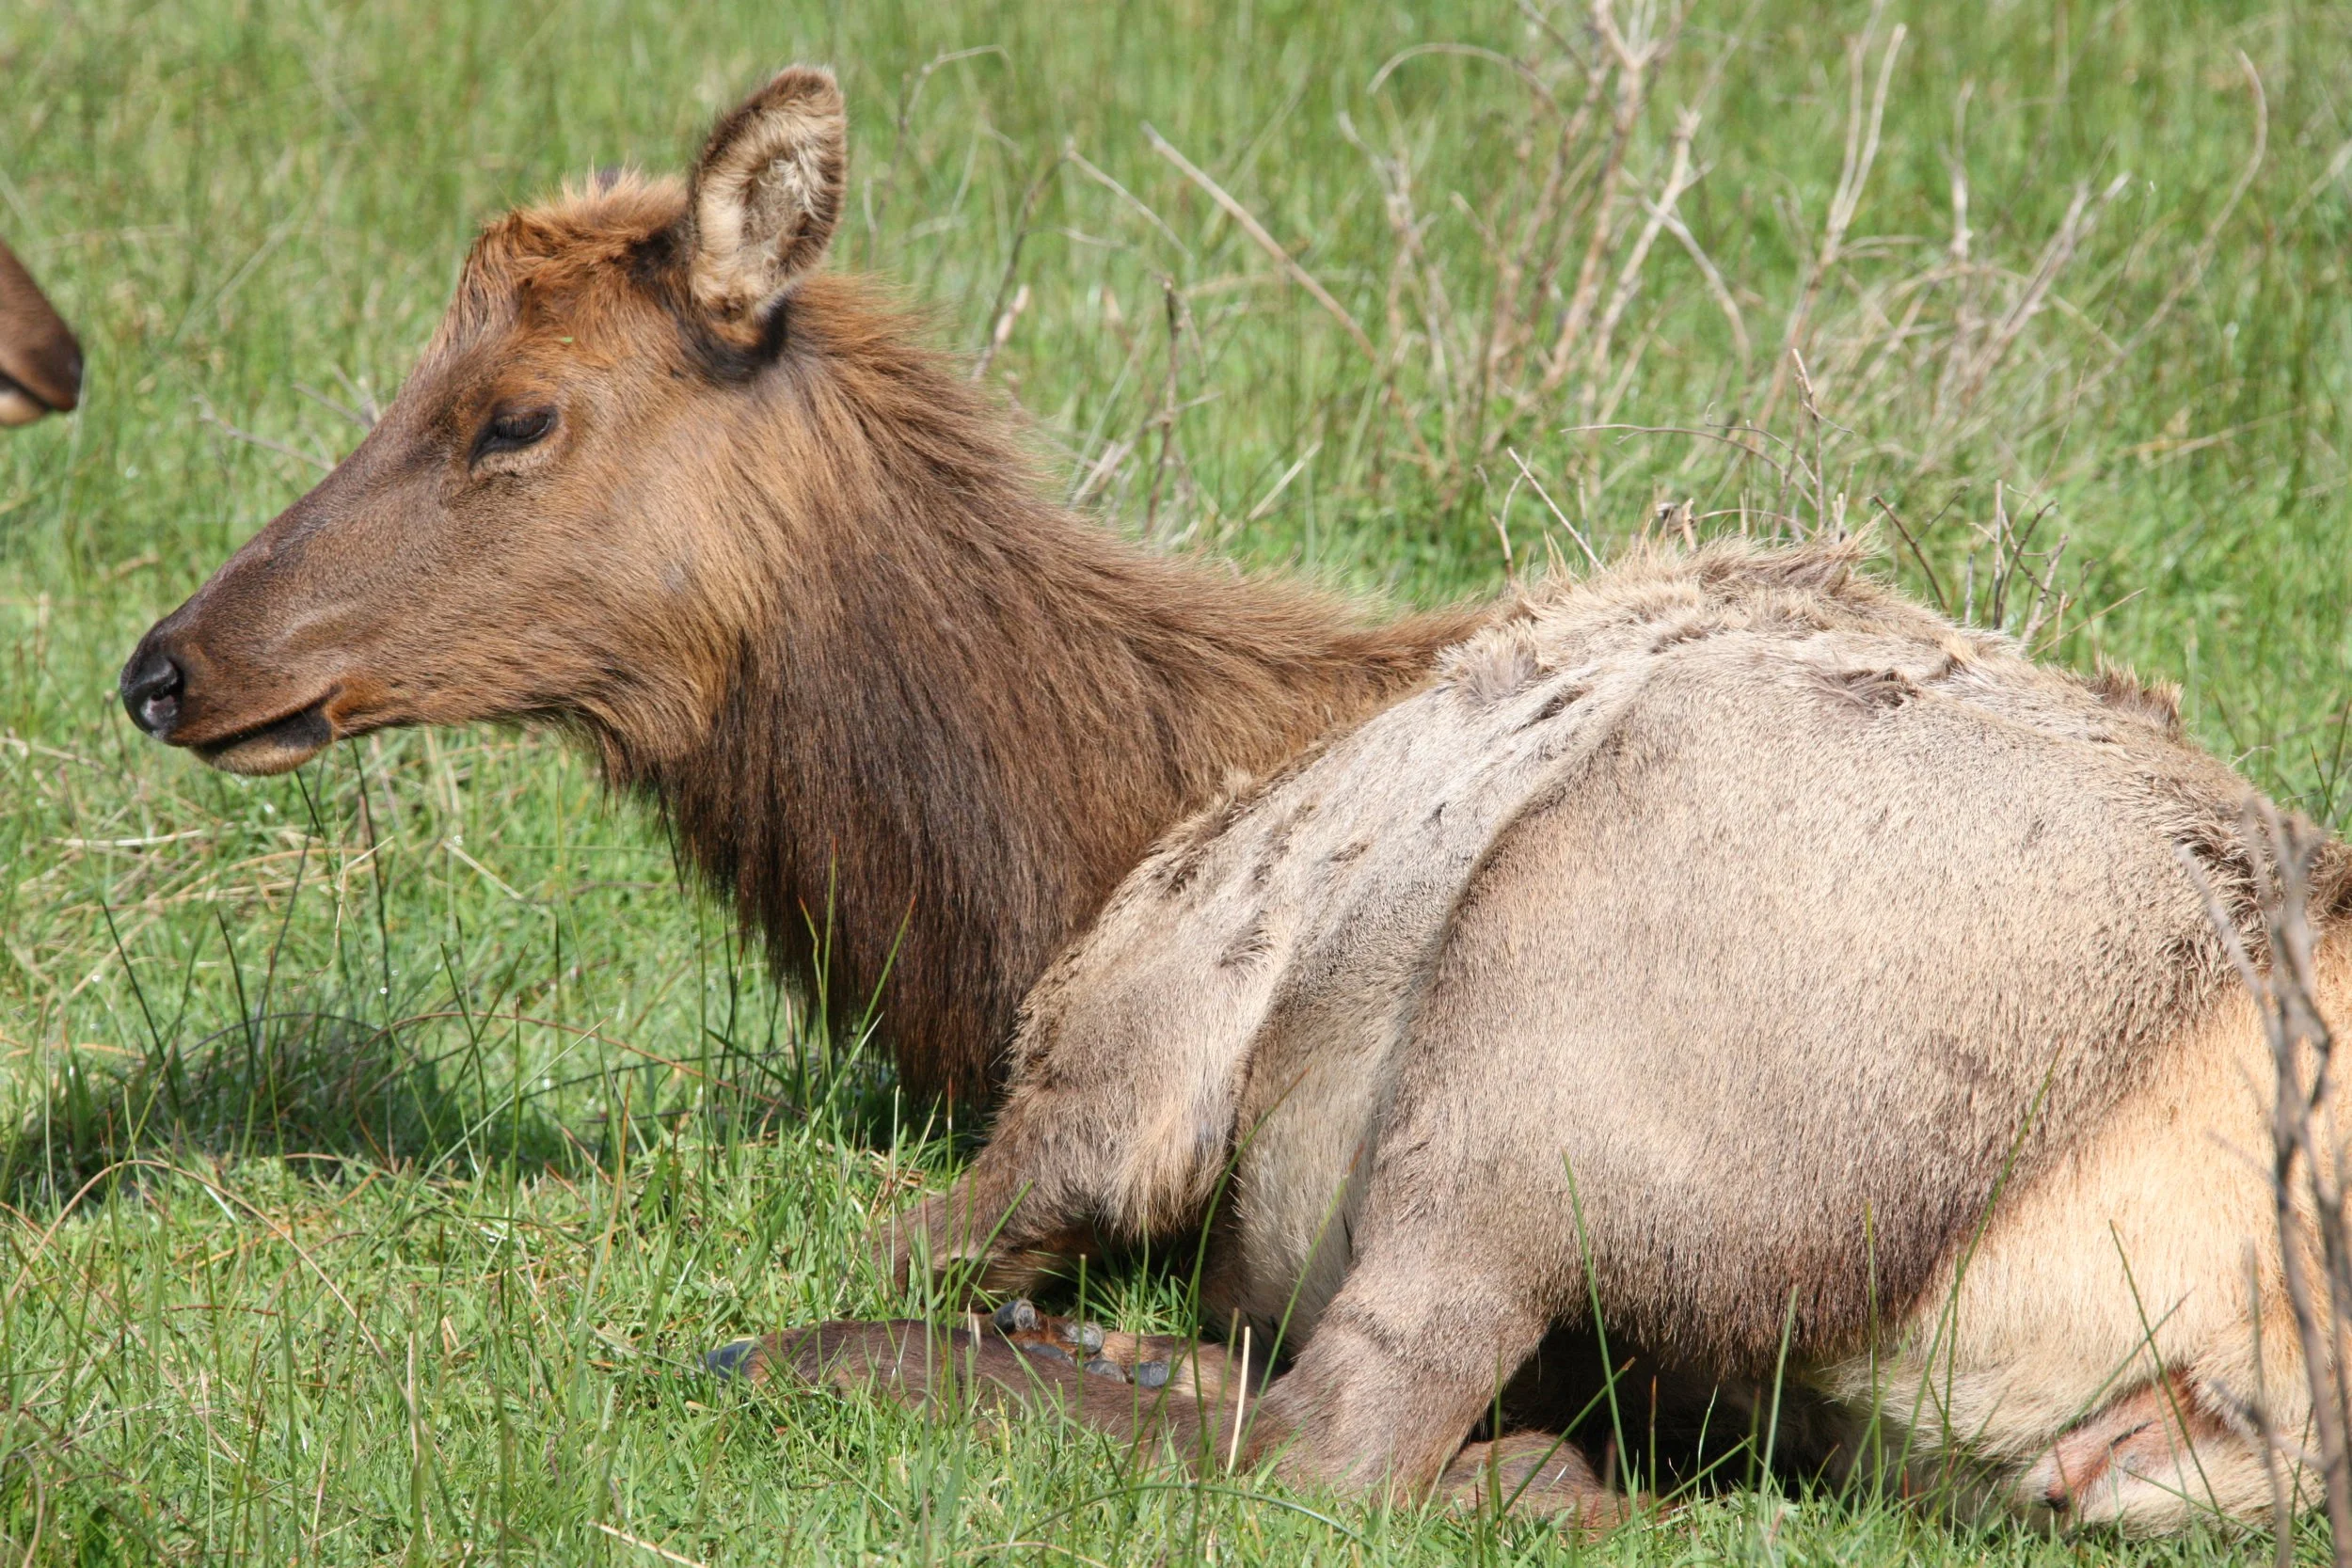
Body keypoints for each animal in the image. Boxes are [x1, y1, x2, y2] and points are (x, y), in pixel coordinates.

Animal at [121, 68, 2352, 1536]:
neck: (1055, 859)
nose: (169, 661)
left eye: (514, 414)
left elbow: (916, 1226)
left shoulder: (1116, 1055)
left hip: (1564, 1034)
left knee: (1339, 1441)